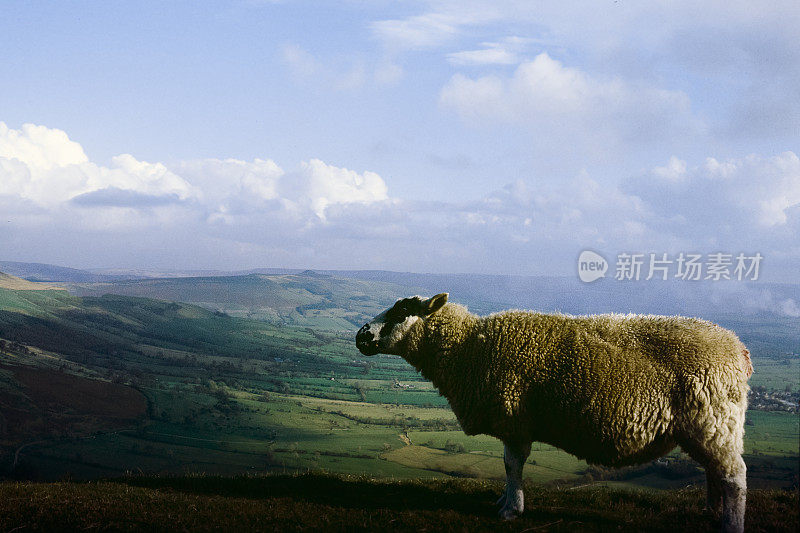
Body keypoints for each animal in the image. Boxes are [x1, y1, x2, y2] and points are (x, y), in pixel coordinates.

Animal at [354, 294, 752, 528]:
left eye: (402, 311)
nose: (361, 335)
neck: (467, 347)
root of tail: (738, 348)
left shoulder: (514, 419)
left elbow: (512, 465)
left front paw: (511, 509)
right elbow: (510, 466)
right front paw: (503, 500)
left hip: (714, 419)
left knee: (734, 476)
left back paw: (732, 524)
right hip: (706, 426)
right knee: (714, 472)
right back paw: (713, 513)